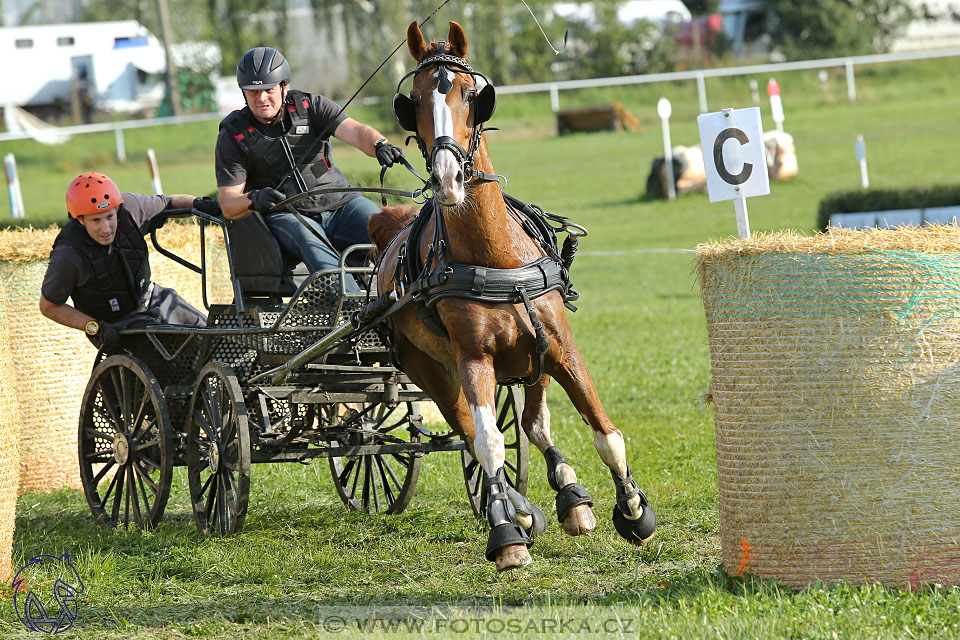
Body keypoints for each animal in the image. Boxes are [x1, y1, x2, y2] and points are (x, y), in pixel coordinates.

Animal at [372, 21, 656, 568]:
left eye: (471, 95)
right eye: (412, 101)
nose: (447, 179)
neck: (496, 256)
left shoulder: (561, 348)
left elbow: (603, 431)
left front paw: (633, 510)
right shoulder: (473, 359)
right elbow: (488, 443)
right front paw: (506, 534)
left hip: (531, 359)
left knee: (534, 423)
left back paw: (569, 497)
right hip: (428, 368)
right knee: (473, 433)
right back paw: (517, 510)